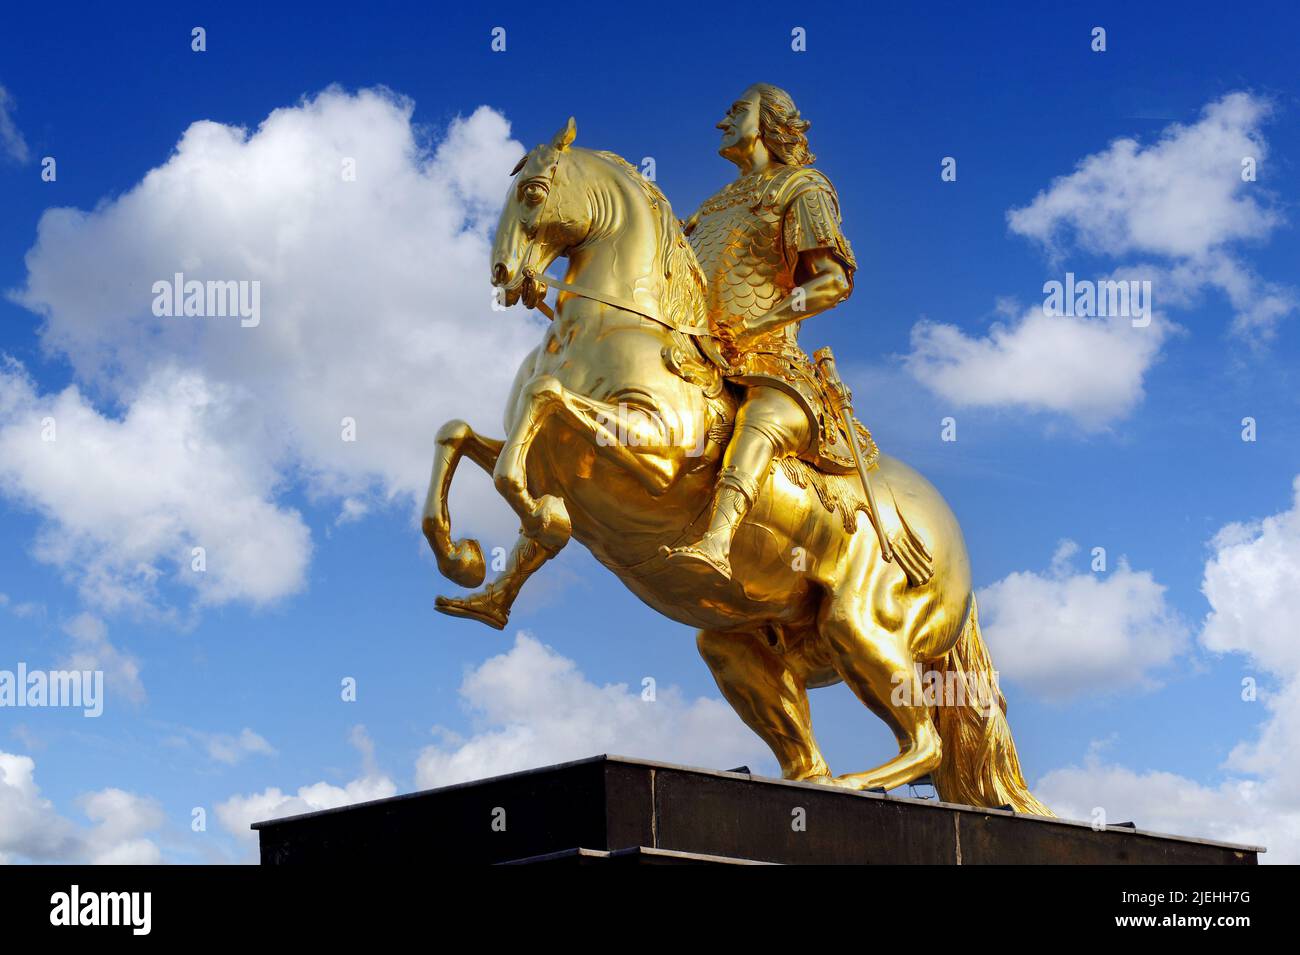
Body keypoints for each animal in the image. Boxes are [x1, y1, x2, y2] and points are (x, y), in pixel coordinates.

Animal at [421, 115, 1050, 810]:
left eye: (532, 191)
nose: (503, 274)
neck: (605, 331)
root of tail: (953, 543)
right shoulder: (553, 458)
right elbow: (460, 436)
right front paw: (466, 565)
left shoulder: (657, 454)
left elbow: (543, 405)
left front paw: (537, 520)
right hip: (738, 644)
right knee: (808, 755)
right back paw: (808, 782)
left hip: (861, 629)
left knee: (926, 744)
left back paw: (853, 786)